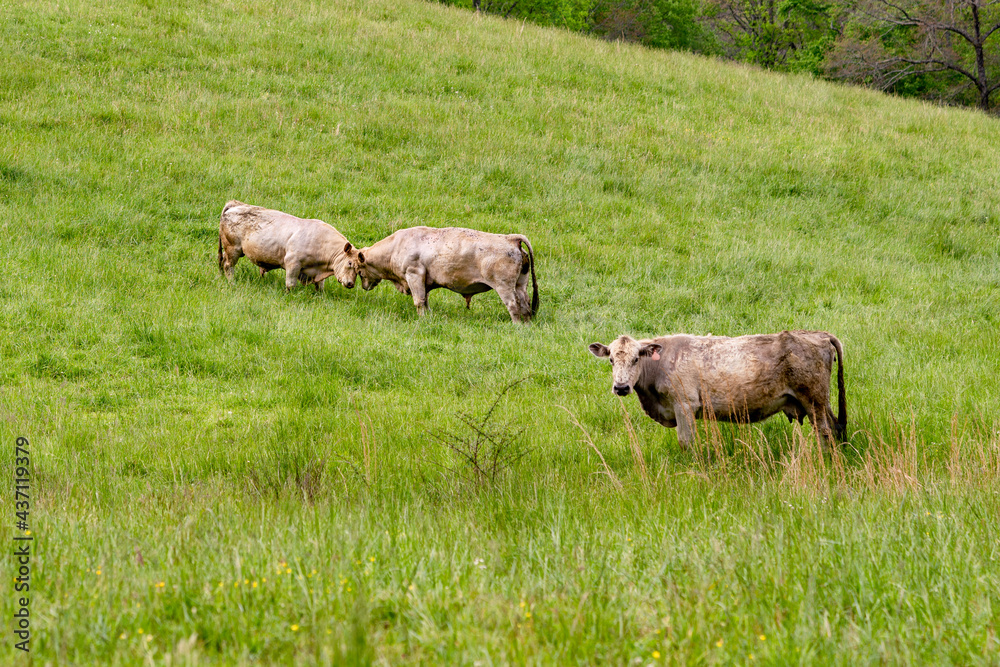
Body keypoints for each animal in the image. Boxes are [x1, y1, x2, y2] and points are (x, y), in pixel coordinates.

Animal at [218, 201, 364, 292]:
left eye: (359, 270)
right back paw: (232, 282)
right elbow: (291, 284)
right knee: (228, 265)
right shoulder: (292, 263)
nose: (351, 284)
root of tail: (235, 205)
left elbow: (320, 286)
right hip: (233, 248)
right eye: (350, 263)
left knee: (222, 260)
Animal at [346, 226, 538, 322]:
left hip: (504, 286)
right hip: (520, 284)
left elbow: (419, 301)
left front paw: (422, 320)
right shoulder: (424, 282)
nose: (364, 286)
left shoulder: (414, 274)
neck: (397, 245)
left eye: (359, 271)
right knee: (526, 305)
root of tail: (511, 238)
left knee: (514, 305)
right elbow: (425, 301)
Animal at [588, 330, 846, 448]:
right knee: (835, 428)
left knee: (825, 432)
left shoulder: (685, 404)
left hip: (814, 400)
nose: (621, 387)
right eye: (611, 360)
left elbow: (686, 441)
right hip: (820, 402)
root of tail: (819, 335)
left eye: (635, 360)